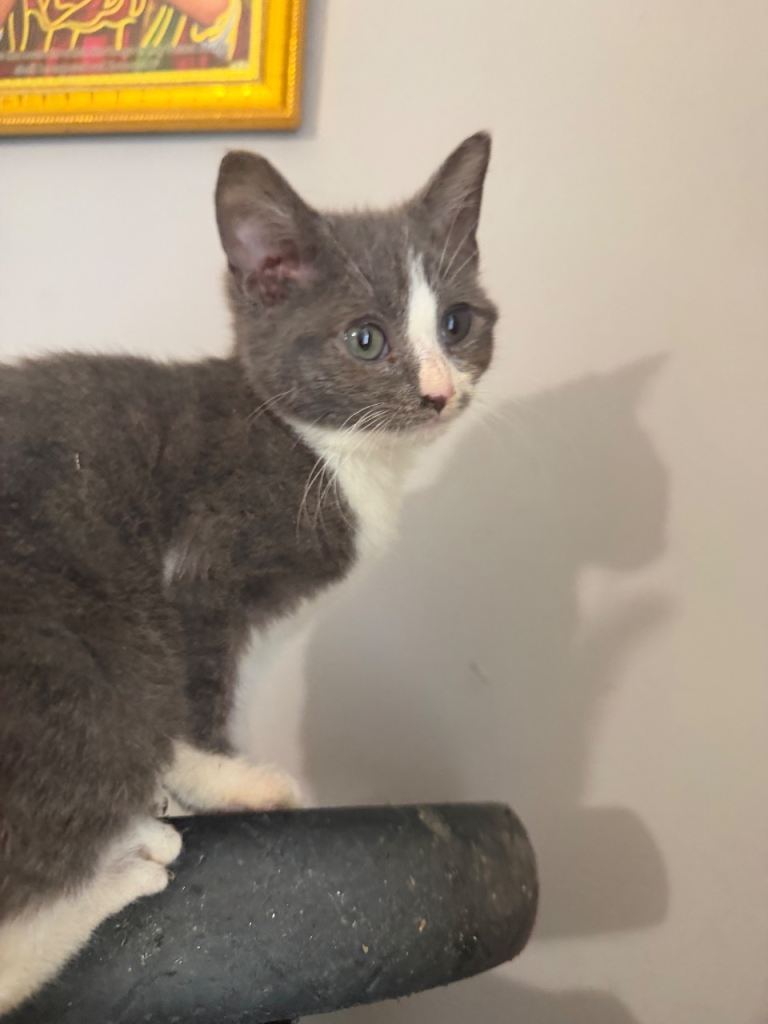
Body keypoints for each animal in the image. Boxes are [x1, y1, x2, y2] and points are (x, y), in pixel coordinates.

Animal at [0, 131, 497, 1014]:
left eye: (456, 322)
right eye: (365, 339)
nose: (439, 394)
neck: (321, 450)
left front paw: (194, 784)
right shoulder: (198, 569)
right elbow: (192, 695)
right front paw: (231, 784)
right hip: (72, 668)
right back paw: (129, 865)